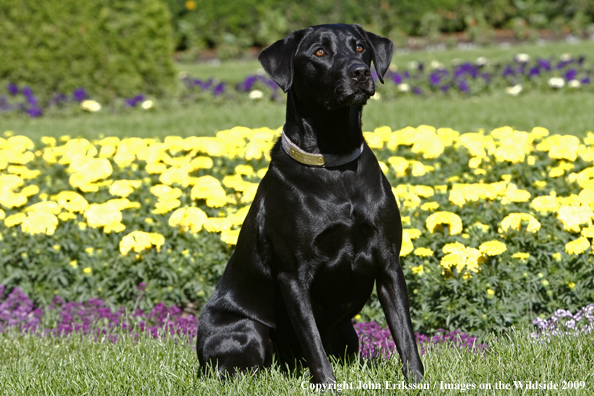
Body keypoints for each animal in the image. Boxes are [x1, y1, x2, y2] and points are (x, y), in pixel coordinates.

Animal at [197, 23, 424, 386]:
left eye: (360, 48)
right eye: (319, 52)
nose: (360, 73)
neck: (334, 164)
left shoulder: (388, 262)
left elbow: (404, 333)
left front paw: (415, 381)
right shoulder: (293, 275)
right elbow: (312, 340)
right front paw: (328, 385)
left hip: (347, 333)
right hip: (247, 330)